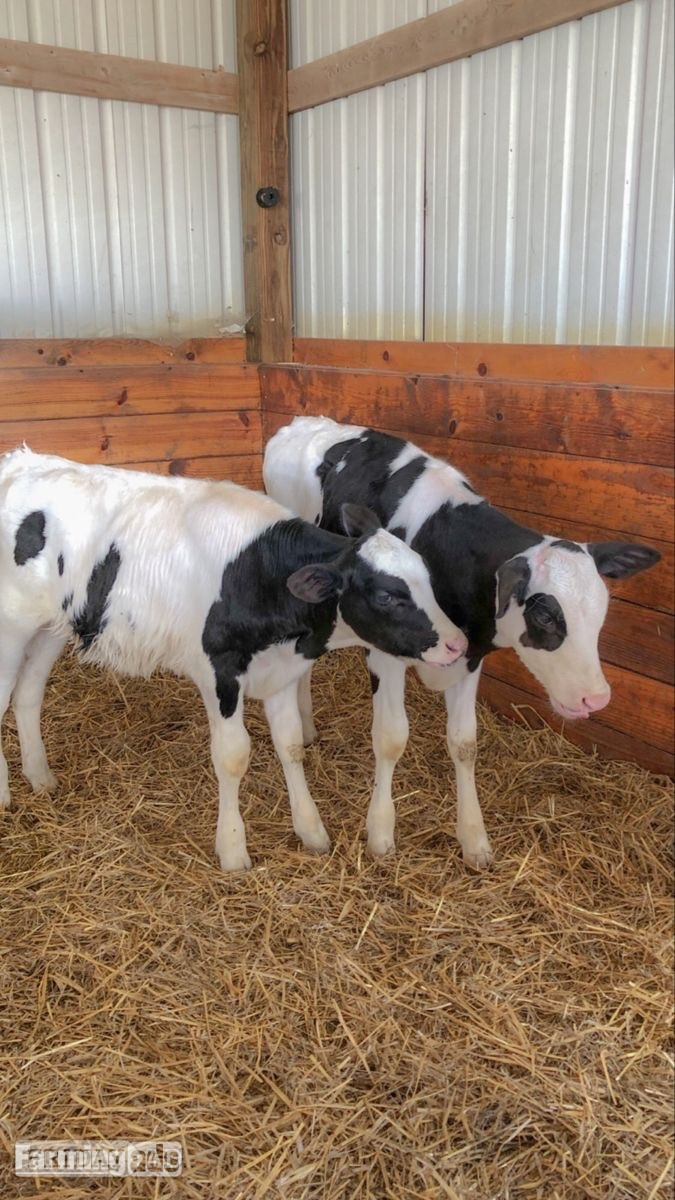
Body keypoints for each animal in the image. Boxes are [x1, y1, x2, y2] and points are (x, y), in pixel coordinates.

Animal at [0, 447, 468, 870]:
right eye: (388, 595)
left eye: (427, 575)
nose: (457, 644)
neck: (260, 574)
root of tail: (17, 460)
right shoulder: (219, 673)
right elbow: (232, 757)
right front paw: (232, 849)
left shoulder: (282, 671)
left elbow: (290, 746)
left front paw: (311, 830)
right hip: (11, 627)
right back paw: (6, 794)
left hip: (51, 625)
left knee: (28, 695)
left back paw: (40, 778)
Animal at [263, 416, 661, 869]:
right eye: (545, 615)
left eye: (601, 610)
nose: (595, 699)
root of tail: (304, 422)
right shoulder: (386, 652)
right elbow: (391, 737)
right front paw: (380, 832)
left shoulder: (470, 655)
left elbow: (465, 742)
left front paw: (473, 838)